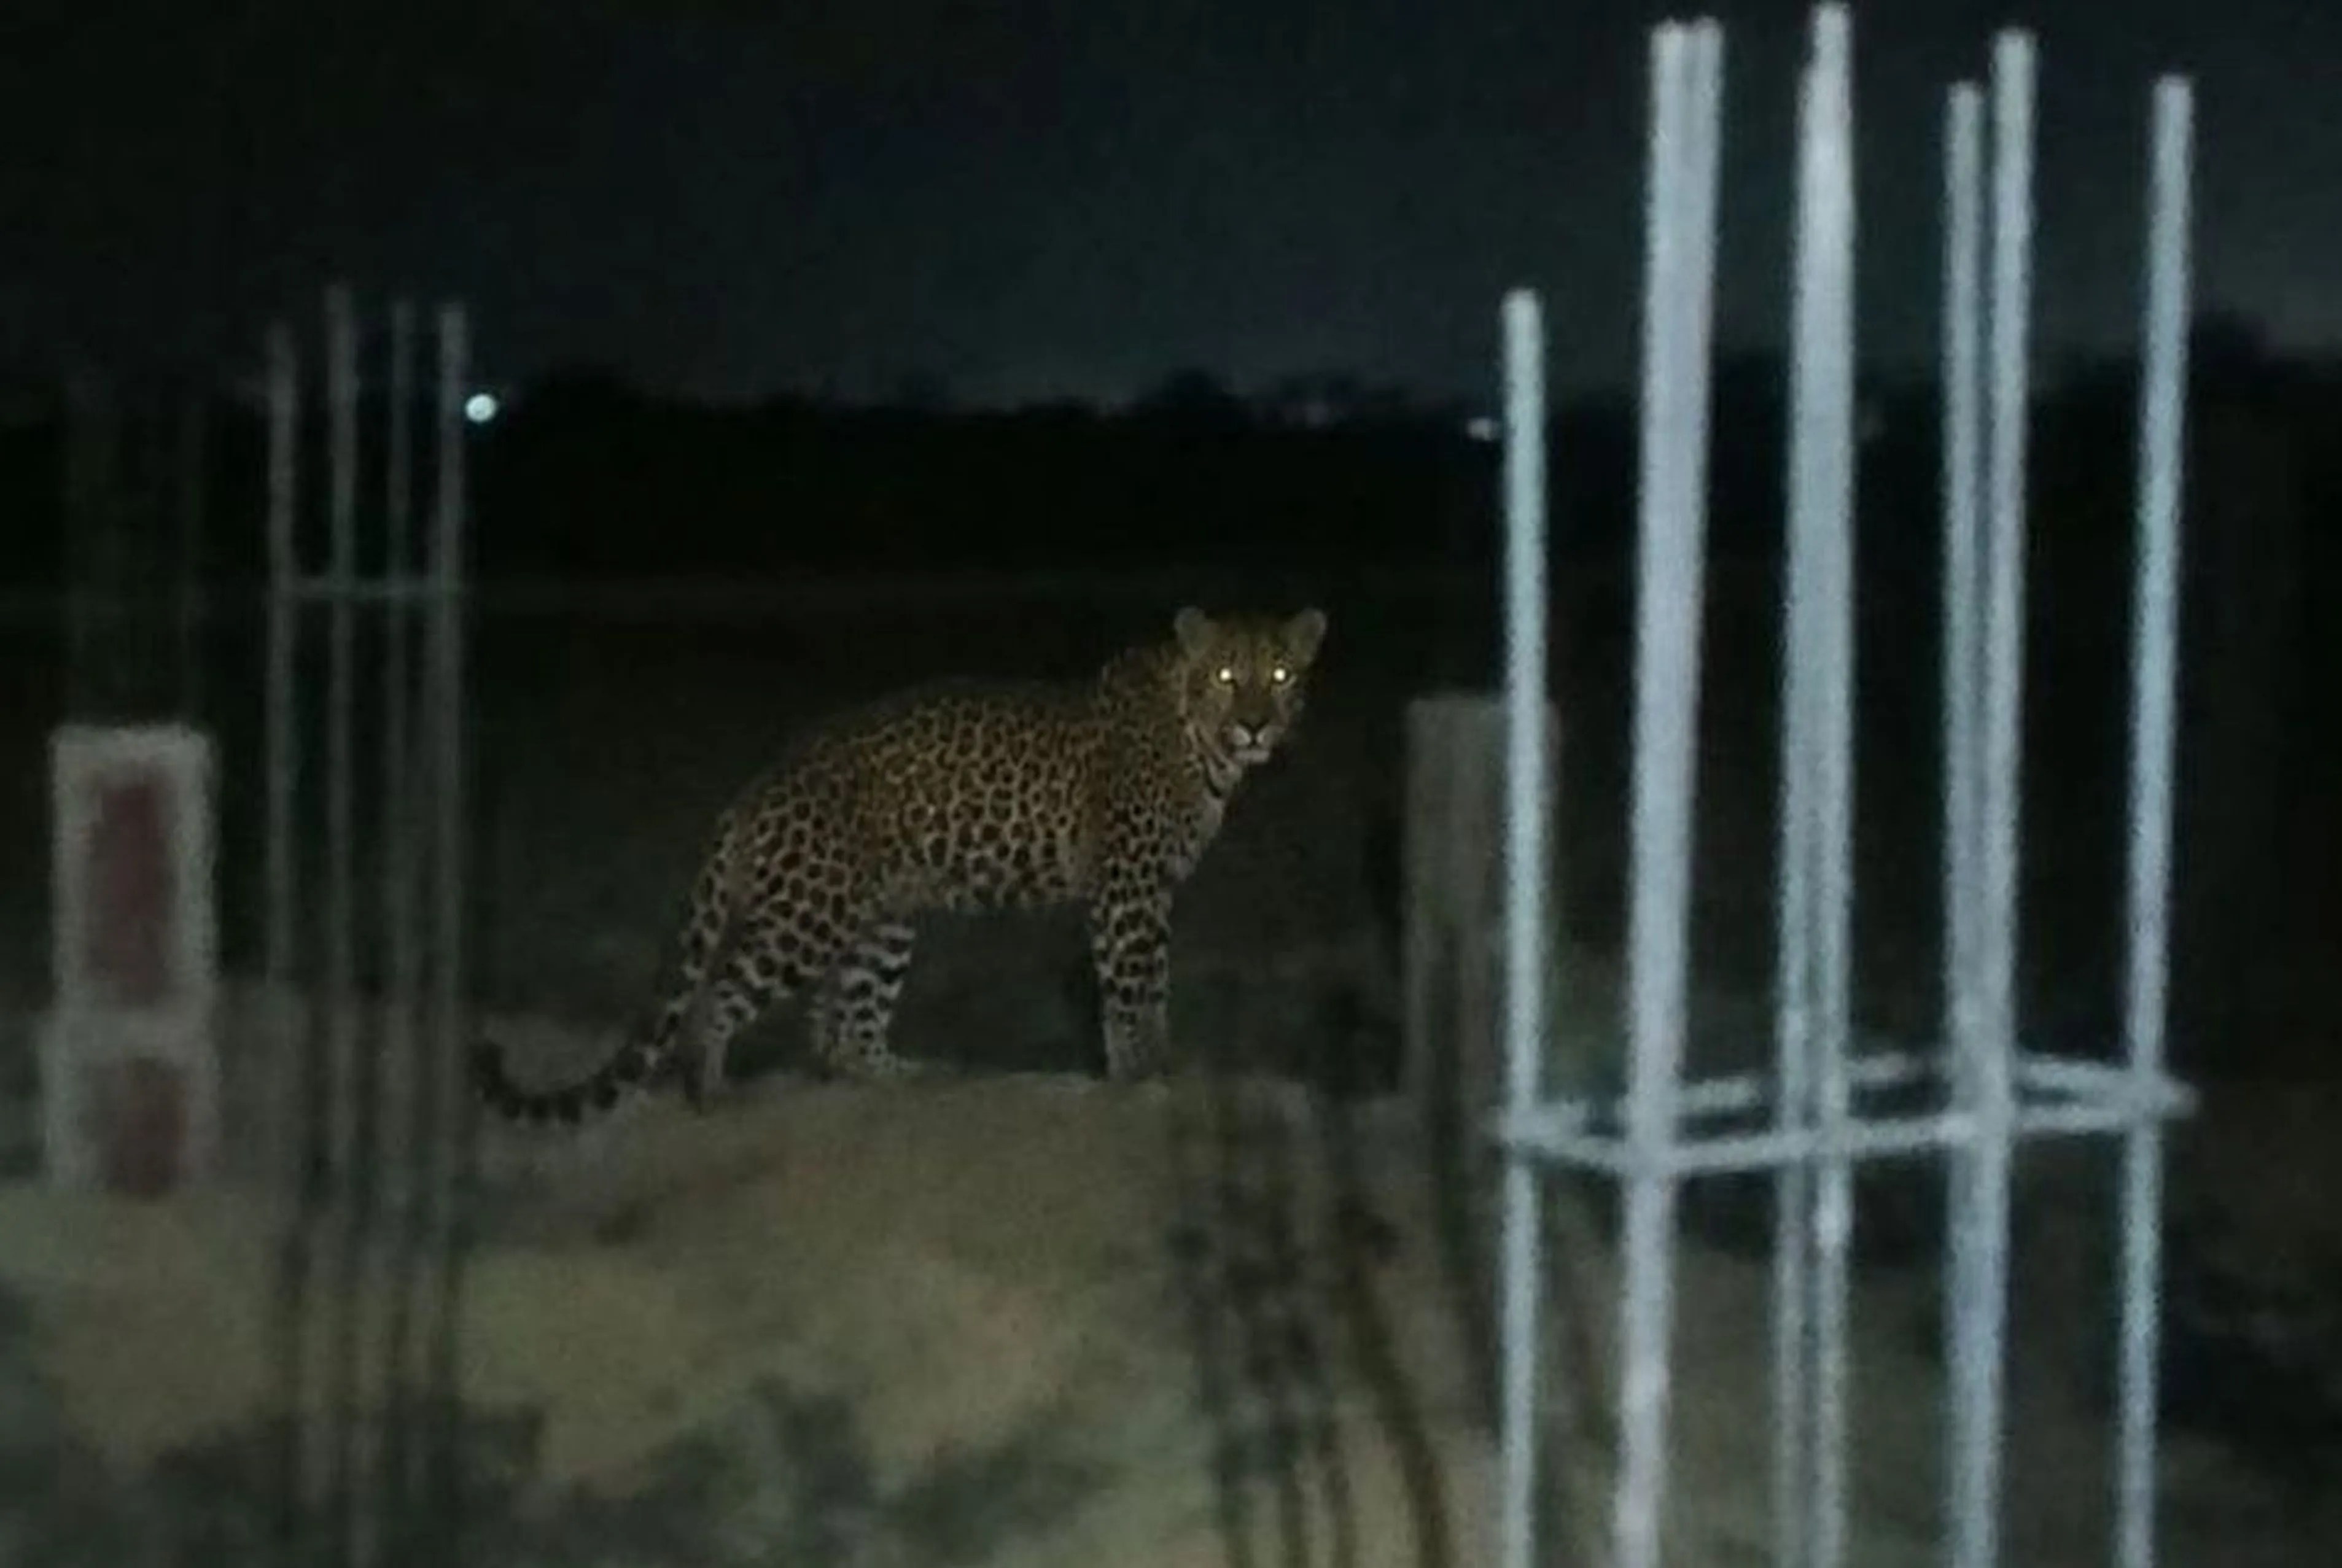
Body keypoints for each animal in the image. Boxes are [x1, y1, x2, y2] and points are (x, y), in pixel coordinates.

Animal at [470, 605, 1329, 1125]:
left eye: (1281, 676)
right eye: (1228, 677)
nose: (1257, 724)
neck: (1200, 739)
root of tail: (752, 790)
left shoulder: (1152, 895)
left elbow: (1155, 988)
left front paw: (1154, 1070)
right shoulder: (1128, 891)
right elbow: (1134, 993)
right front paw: (1142, 1078)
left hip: (883, 918)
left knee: (840, 1028)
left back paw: (903, 1079)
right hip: (808, 914)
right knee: (721, 996)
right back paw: (710, 1094)